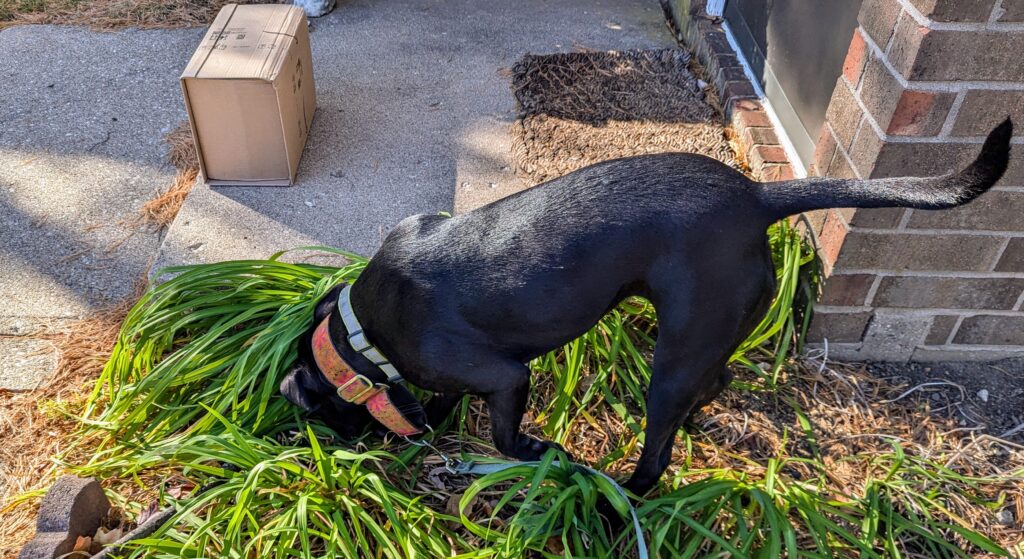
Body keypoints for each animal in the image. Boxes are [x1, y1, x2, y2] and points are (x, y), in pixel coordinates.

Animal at [284, 118, 1011, 491]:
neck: (360, 331)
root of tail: (757, 197)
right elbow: (445, 400)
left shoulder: (506, 376)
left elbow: (502, 432)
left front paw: (534, 451)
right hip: (705, 338)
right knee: (712, 383)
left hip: (674, 355)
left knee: (656, 460)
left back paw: (618, 497)